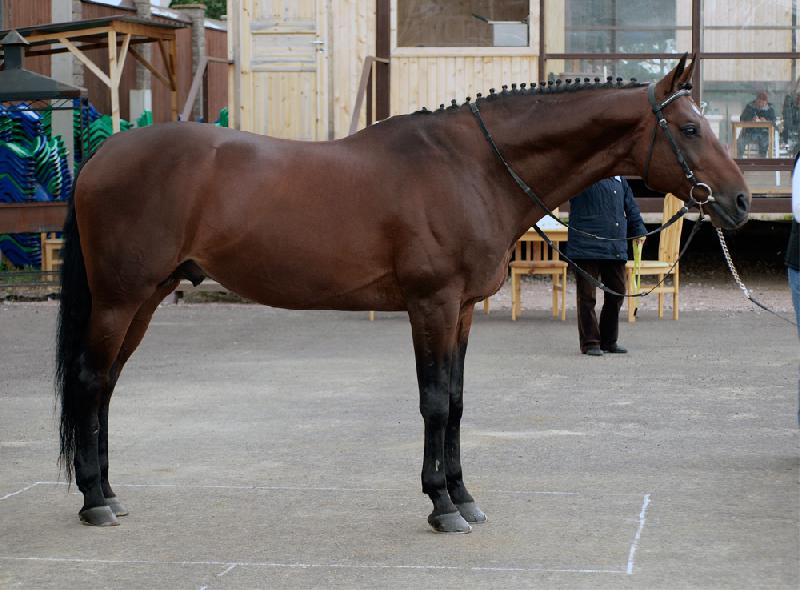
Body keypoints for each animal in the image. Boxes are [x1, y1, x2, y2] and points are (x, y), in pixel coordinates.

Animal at [56, 54, 749, 532]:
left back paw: (110, 493)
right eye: (689, 128)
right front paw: (442, 506)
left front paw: (465, 495)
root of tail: (100, 157)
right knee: (90, 382)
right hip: (120, 298)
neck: (474, 167)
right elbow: (435, 402)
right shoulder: (432, 305)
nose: (740, 201)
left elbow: (459, 402)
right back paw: (93, 500)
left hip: (146, 298)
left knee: (107, 386)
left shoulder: (462, 311)